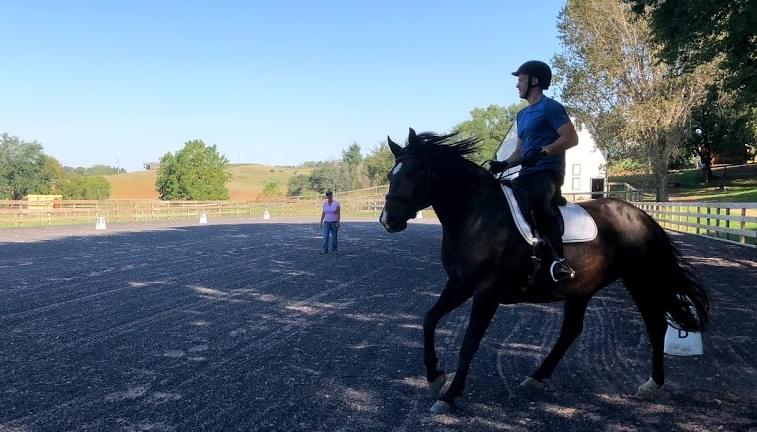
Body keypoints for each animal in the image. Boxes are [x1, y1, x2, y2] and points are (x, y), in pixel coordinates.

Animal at [379, 128, 710, 414]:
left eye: (414, 173)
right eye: (391, 175)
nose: (388, 220)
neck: (477, 216)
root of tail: (642, 217)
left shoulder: (487, 292)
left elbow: (469, 342)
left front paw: (449, 396)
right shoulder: (460, 284)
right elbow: (429, 320)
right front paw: (435, 377)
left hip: (641, 280)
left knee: (656, 325)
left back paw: (653, 384)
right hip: (582, 289)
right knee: (571, 331)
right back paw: (536, 377)